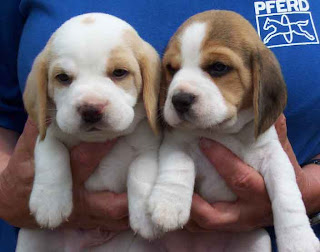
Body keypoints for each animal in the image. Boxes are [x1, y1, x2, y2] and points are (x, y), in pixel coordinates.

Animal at [16, 12, 161, 251]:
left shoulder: (148, 147)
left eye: (119, 72)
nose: (91, 109)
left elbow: (141, 174)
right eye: (63, 78)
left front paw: (146, 216)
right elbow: (52, 152)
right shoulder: (48, 130)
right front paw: (50, 201)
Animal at [149, 10, 318, 252]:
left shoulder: (274, 155)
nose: (179, 100)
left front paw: (298, 239)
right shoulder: (176, 141)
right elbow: (178, 166)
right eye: (171, 69)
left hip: (258, 240)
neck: (222, 132)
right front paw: (168, 205)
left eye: (219, 67)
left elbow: (286, 193)